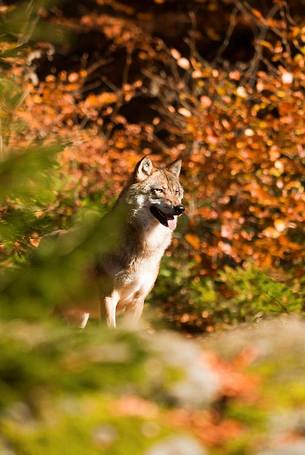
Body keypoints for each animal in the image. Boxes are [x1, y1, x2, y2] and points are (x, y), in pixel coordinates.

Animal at [87, 157, 183, 328]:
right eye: (159, 190)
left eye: (177, 192)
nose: (180, 208)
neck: (145, 245)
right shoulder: (108, 297)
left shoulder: (138, 301)